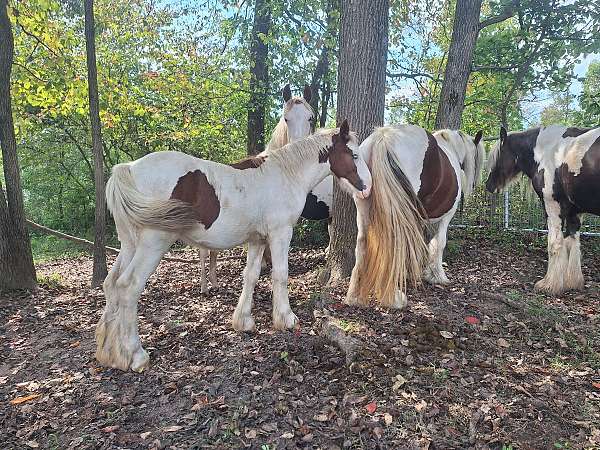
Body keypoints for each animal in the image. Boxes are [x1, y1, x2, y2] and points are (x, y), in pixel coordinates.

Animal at [98, 120, 370, 372]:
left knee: (111, 284)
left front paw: (244, 321)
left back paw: (111, 353)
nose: (367, 188)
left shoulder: (258, 239)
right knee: (128, 286)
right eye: (354, 155)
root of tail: (128, 169)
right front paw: (286, 319)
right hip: (154, 243)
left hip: (129, 244)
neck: (285, 175)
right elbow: (280, 275)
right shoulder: (280, 233)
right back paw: (136, 355)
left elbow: (251, 275)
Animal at [199, 83, 316, 292]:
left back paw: (214, 282)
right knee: (204, 254)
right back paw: (204, 286)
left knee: (213, 253)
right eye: (286, 119)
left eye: (310, 118)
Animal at [344, 125, 486, 312]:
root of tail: (384, 137)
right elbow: (438, 243)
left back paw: (354, 297)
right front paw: (437, 276)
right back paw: (394, 298)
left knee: (362, 243)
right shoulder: (445, 217)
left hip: (363, 204)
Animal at [488, 125, 600, 298]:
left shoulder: (552, 206)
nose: (488, 185)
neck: (549, 151)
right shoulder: (574, 213)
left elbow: (554, 243)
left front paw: (549, 285)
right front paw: (572, 282)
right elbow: (573, 243)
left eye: (498, 155)